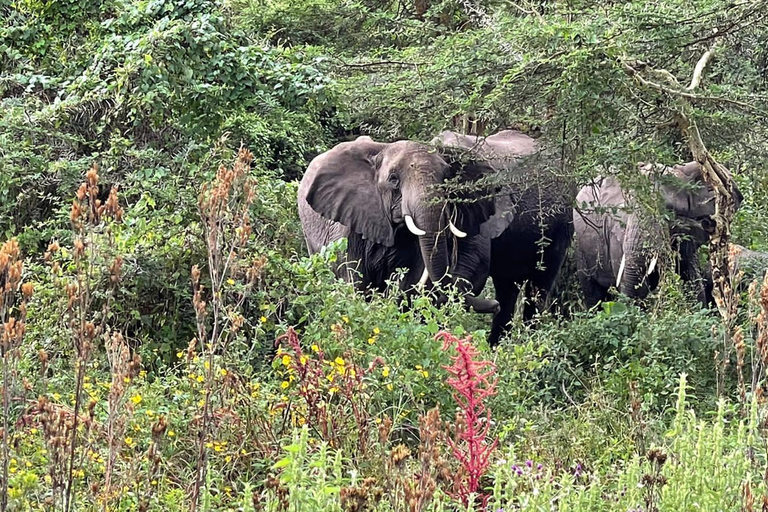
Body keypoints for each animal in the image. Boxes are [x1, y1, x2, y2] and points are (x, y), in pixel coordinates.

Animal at [296, 134, 500, 314]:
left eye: (446, 179)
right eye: (393, 179)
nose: (496, 305)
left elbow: (405, 281)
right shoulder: (348, 223)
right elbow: (355, 279)